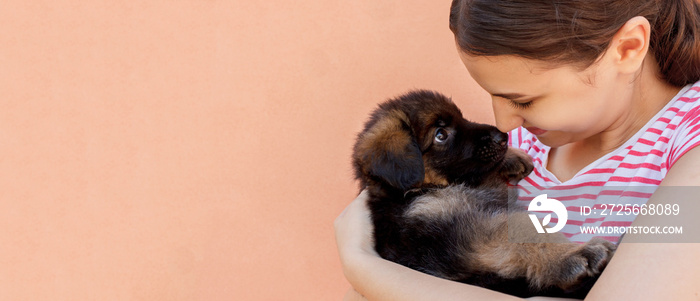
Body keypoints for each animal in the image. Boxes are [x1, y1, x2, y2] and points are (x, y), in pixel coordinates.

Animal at [352, 90, 616, 296]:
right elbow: (527, 231)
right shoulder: (467, 233)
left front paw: (512, 157)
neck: (415, 192)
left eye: (461, 118)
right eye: (440, 135)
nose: (502, 137)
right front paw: (572, 254)